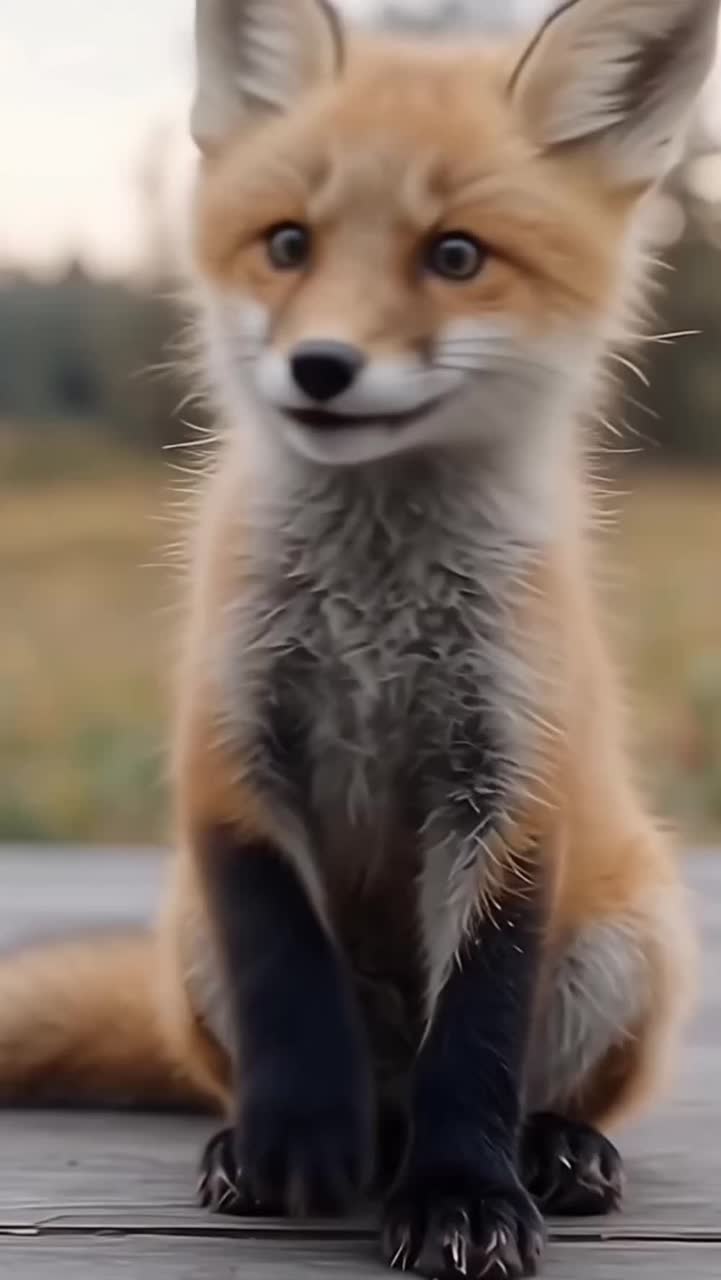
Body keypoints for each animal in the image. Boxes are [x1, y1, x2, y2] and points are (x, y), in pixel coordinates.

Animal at [1, 0, 718, 1275]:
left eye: (456, 256)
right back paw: (273, 1139)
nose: (321, 367)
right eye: (287, 245)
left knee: (525, 1089)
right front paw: (292, 1141)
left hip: (629, 940)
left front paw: (461, 1194)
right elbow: (287, 967)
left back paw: (555, 1148)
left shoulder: (509, 777)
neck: (377, 618)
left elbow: (476, 1033)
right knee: (315, 1083)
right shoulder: (228, 744)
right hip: (193, 940)